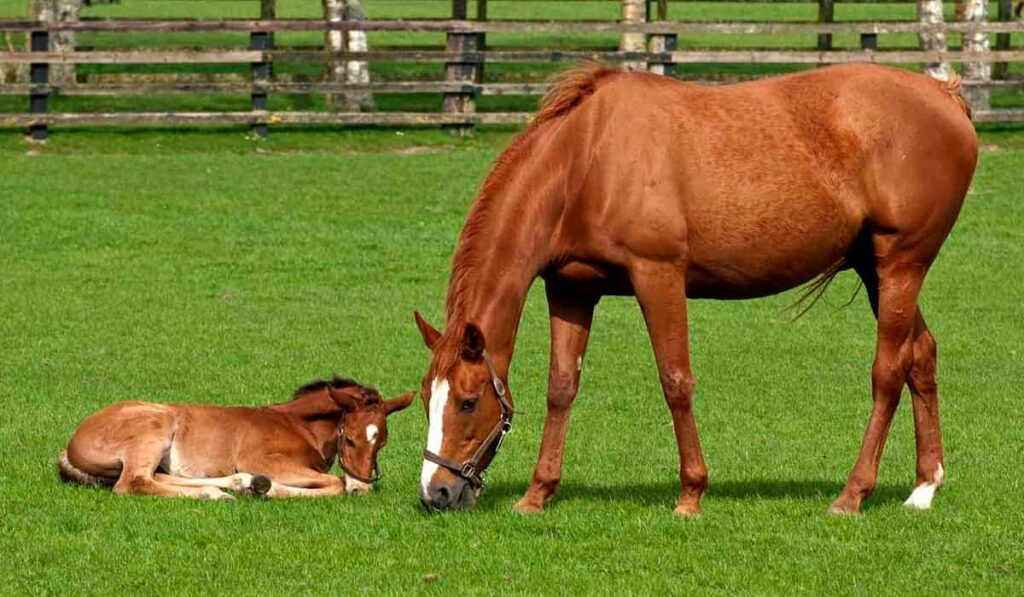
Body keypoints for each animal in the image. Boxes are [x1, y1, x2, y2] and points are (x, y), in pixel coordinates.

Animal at [56, 378, 413, 499]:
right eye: (349, 439)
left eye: (381, 443)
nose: (361, 489)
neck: (299, 425)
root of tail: (71, 444)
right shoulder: (262, 459)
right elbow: (334, 483)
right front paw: (269, 489)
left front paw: (258, 486)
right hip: (155, 427)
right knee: (133, 482)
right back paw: (224, 492)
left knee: (156, 477)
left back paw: (237, 486)